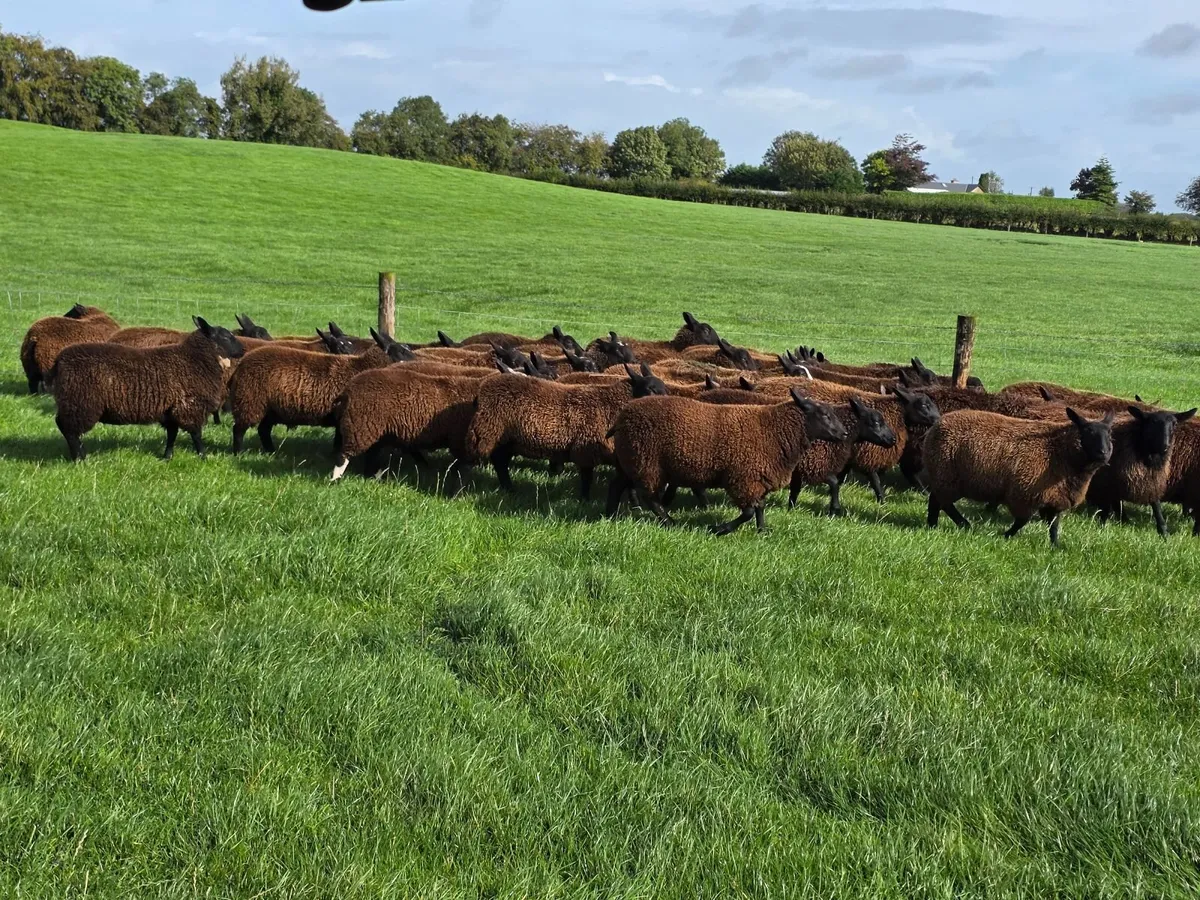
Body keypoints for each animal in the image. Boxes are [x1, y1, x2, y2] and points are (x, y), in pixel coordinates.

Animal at [52, 316, 244, 461]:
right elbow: (196, 434)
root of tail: (59, 361)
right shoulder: (190, 406)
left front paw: (167, 457)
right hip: (81, 402)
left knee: (63, 425)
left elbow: (172, 435)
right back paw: (80, 458)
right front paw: (203, 456)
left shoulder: (171, 409)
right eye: (225, 337)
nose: (242, 350)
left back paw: (80, 455)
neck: (195, 359)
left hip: (72, 401)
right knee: (69, 429)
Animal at [228, 327, 405, 454]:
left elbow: (338, 440)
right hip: (249, 400)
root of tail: (240, 366)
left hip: (270, 409)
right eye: (399, 352)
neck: (360, 367)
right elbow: (338, 441)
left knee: (263, 430)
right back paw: (238, 453)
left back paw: (271, 452)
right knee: (238, 429)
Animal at [465, 363, 669, 499]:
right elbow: (587, 479)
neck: (611, 405)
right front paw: (584, 500)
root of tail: (482, 390)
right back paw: (506, 488)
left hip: (508, 440)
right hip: (492, 432)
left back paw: (509, 488)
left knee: (500, 462)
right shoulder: (586, 448)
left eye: (664, 387)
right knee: (495, 462)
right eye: (651, 389)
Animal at [606, 390, 850, 534]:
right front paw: (720, 529)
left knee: (616, 485)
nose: (845, 433)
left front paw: (763, 530)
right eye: (824, 414)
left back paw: (609, 515)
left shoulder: (757, 479)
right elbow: (748, 512)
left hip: (630, 460)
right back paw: (669, 522)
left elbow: (760, 507)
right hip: (646, 462)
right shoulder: (742, 478)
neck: (775, 430)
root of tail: (621, 417)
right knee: (650, 497)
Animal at [923, 408, 1116, 545]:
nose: (1104, 453)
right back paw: (962, 524)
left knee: (936, 500)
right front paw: (1006, 535)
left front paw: (1056, 546)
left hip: (945, 477)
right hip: (947, 476)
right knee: (944, 502)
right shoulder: (1024, 492)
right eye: (1087, 432)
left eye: (1109, 434)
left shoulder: (1055, 496)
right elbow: (1022, 521)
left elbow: (1054, 526)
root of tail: (938, 424)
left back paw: (933, 525)